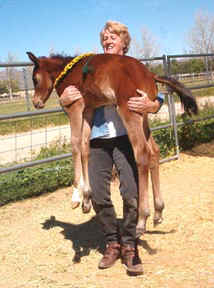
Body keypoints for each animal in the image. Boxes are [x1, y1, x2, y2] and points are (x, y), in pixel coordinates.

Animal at [27, 53, 199, 237]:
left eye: (35, 79)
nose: (36, 102)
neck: (68, 71)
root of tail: (150, 74)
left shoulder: (75, 105)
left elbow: (75, 146)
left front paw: (76, 196)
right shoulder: (88, 110)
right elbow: (84, 148)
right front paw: (86, 199)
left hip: (129, 111)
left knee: (142, 154)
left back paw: (142, 219)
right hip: (143, 115)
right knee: (154, 151)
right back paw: (158, 212)